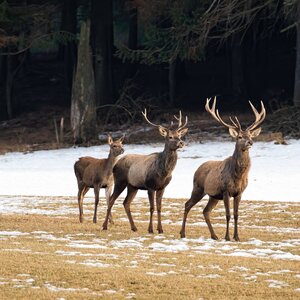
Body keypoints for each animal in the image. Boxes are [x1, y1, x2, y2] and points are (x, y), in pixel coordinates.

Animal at [179, 97, 266, 243]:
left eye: (250, 135)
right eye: (240, 137)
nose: (250, 142)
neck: (238, 176)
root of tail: (198, 168)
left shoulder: (239, 192)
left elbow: (236, 214)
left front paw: (237, 237)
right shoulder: (226, 191)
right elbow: (228, 214)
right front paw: (227, 237)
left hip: (213, 196)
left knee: (205, 211)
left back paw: (214, 235)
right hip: (198, 188)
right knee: (187, 204)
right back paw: (182, 233)